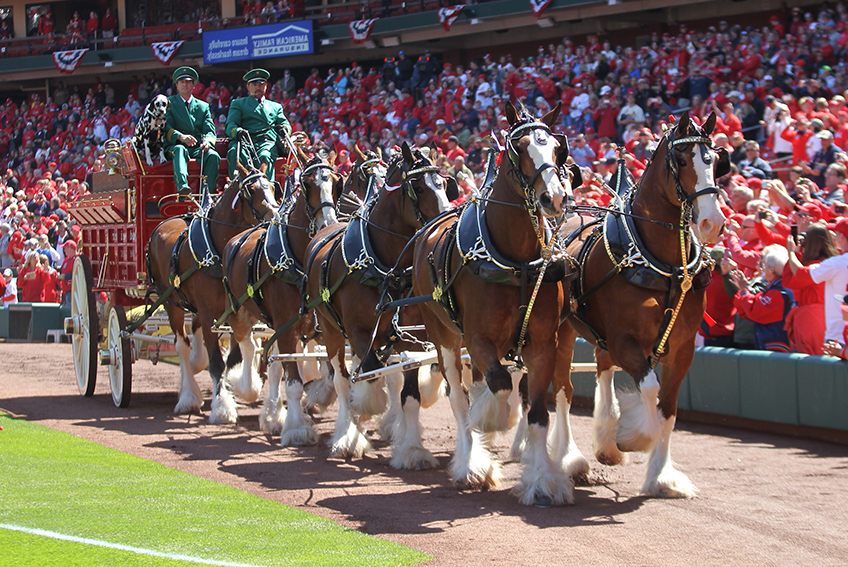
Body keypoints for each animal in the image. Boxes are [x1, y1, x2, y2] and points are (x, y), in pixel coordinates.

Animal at [146, 162, 278, 424]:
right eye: (252, 190)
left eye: (271, 185)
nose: (276, 216)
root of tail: (164, 223)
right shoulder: (210, 314)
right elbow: (217, 362)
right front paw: (222, 407)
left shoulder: (237, 311)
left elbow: (234, 356)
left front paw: (239, 387)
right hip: (171, 302)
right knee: (181, 344)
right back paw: (188, 396)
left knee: (194, 333)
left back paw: (198, 363)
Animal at [410, 101, 584, 502]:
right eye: (519, 148)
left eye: (558, 148)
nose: (555, 198)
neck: (516, 261)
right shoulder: (477, 339)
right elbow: (499, 384)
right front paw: (489, 422)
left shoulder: (543, 344)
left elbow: (538, 412)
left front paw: (543, 480)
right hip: (443, 336)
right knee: (459, 398)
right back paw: (470, 463)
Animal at [548, 110, 728, 496]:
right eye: (680, 160)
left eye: (716, 161)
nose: (712, 222)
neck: (663, 265)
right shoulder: (625, 341)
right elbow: (649, 389)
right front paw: (632, 437)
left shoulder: (682, 347)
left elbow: (668, 408)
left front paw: (661, 475)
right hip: (562, 331)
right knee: (563, 390)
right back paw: (571, 458)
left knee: (601, 369)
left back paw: (605, 440)